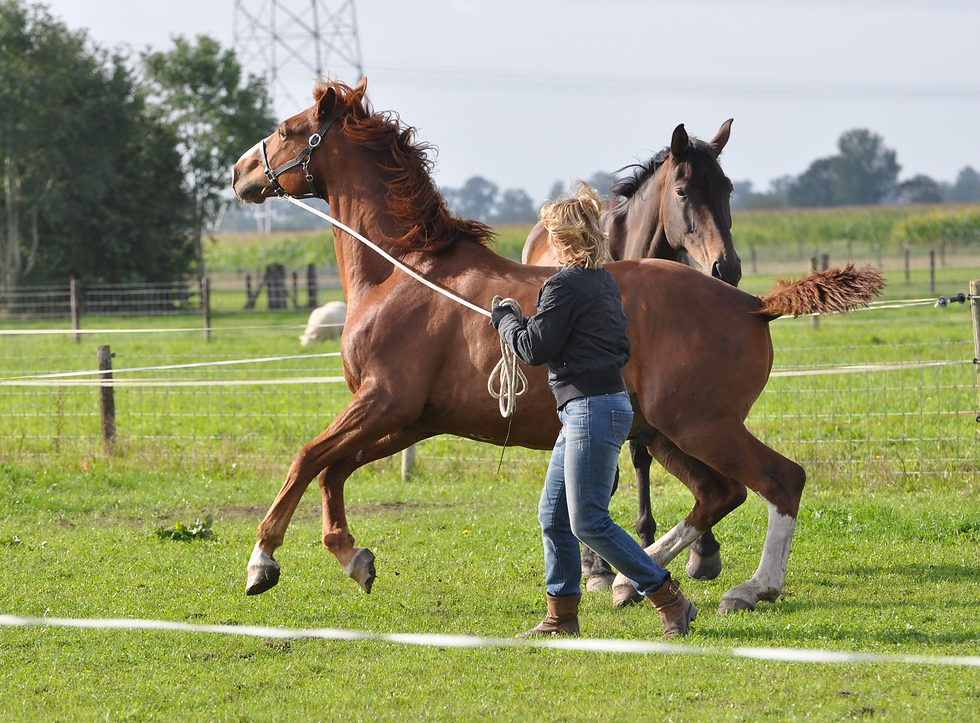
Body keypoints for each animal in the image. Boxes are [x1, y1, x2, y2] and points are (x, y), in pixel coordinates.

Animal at [231, 78, 884, 618]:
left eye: (287, 130)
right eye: (686, 190)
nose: (239, 173)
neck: (403, 270)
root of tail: (751, 303)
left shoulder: (383, 401)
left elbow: (306, 458)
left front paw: (263, 562)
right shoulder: (411, 418)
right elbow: (334, 467)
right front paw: (354, 557)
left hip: (701, 425)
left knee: (780, 480)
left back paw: (748, 588)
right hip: (666, 432)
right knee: (719, 493)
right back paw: (631, 581)